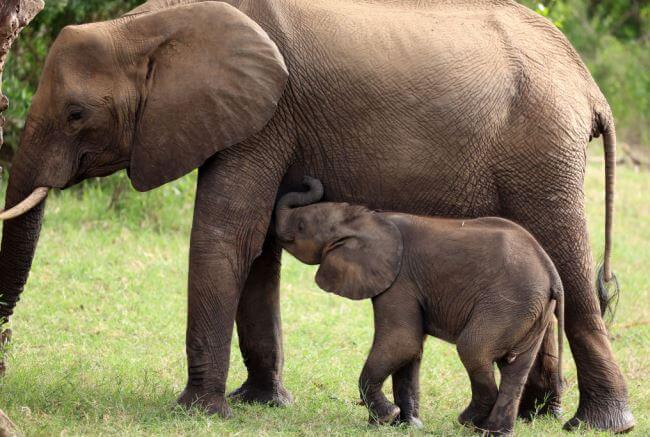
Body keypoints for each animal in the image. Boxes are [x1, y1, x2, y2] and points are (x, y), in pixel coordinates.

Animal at [274, 176, 560, 432]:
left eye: (301, 226)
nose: (307, 179)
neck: (366, 219)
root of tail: (550, 272)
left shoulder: (400, 280)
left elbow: (402, 341)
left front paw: (385, 418)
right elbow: (411, 351)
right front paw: (405, 423)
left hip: (508, 304)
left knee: (473, 348)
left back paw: (467, 421)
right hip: (530, 311)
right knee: (515, 369)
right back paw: (494, 431)